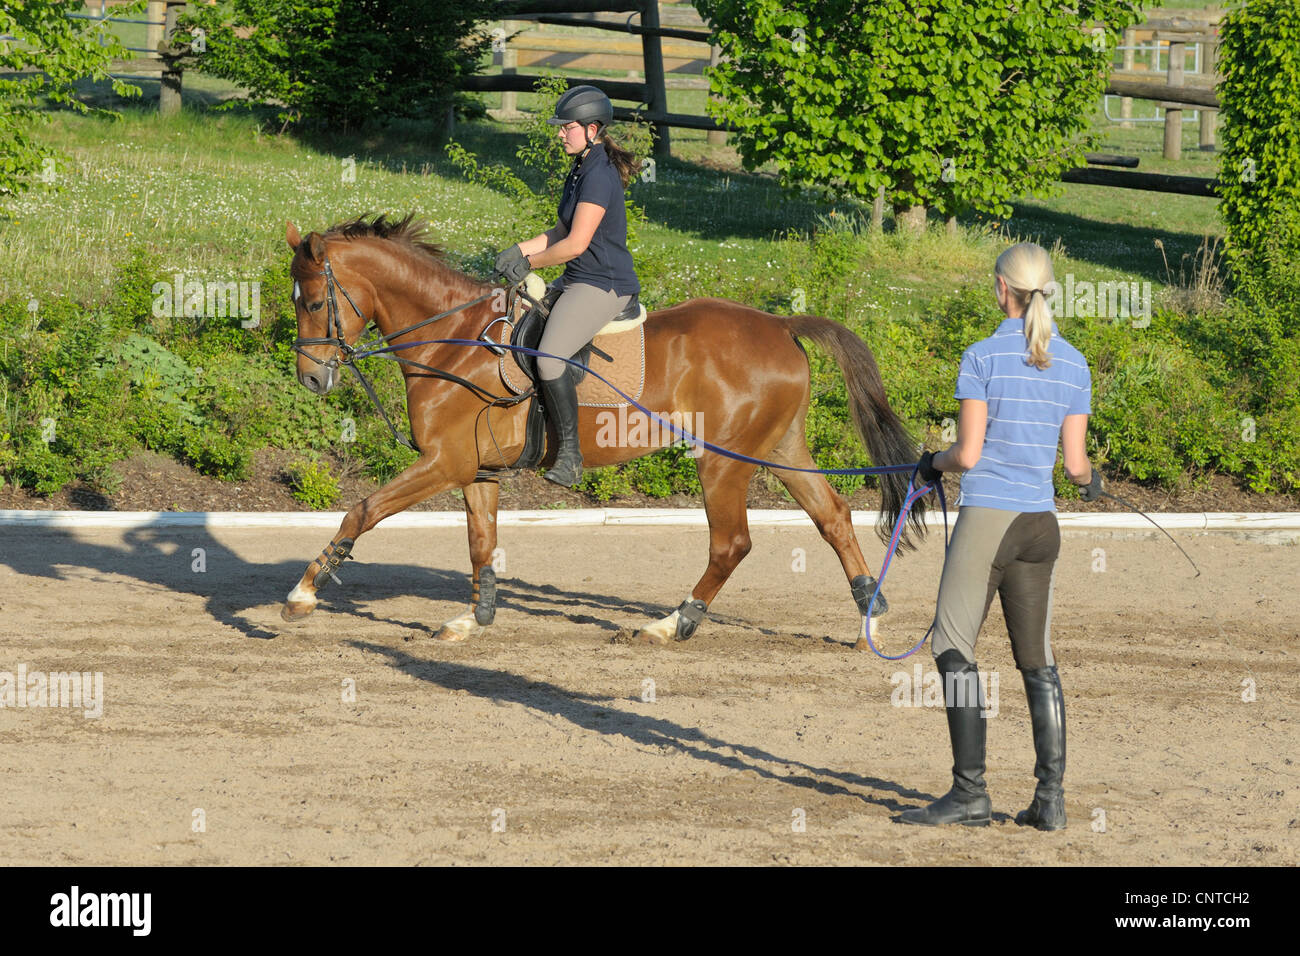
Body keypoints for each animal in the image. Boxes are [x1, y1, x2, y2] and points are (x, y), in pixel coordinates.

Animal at [280, 213, 928, 647]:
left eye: (311, 302)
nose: (310, 379)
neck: (453, 339)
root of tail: (781, 323)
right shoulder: (476, 469)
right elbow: (481, 543)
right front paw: (474, 619)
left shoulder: (442, 462)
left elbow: (362, 510)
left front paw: (302, 594)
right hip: (779, 448)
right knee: (833, 516)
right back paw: (868, 616)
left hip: (723, 459)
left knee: (731, 543)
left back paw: (672, 624)